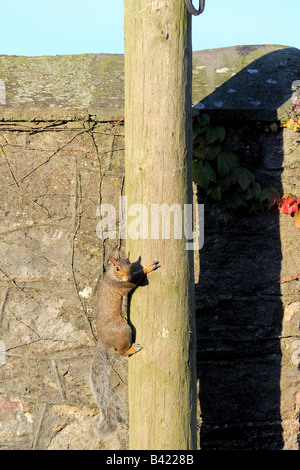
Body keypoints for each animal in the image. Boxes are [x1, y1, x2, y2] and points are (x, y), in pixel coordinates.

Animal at [90, 252, 159, 438]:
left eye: (130, 264)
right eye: (117, 268)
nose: (127, 275)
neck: (111, 276)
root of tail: (103, 342)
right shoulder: (123, 285)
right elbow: (135, 281)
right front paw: (148, 267)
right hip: (124, 330)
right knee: (121, 352)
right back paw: (133, 348)